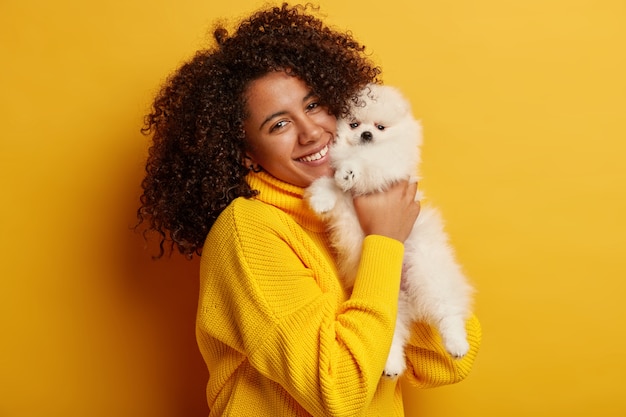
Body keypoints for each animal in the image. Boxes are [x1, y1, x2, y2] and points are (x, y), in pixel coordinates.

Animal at [304, 83, 472, 376]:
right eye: (354, 124)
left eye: (381, 127)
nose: (366, 134)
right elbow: (329, 183)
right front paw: (322, 199)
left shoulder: (388, 165)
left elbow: (366, 165)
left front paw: (350, 171)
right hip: (387, 302)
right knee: (386, 338)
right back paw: (392, 365)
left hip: (429, 273)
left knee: (448, 311)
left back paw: (456, 343)